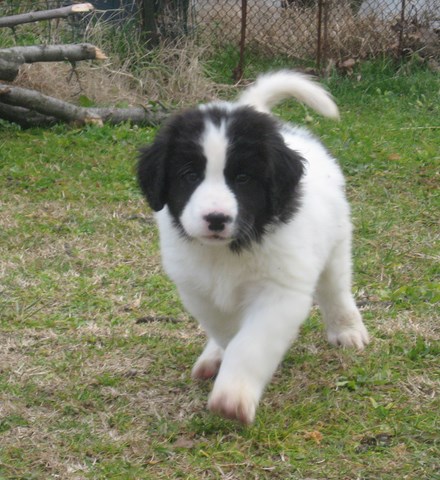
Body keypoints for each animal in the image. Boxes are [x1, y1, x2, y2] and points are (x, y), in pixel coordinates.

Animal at [138, 71, 369, 424]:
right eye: (189, 175)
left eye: (243, 178)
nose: (216, 218)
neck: (227, 252)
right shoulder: (198, 290)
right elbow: (228, 331)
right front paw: (224, 361)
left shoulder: (280, 291)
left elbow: (251, 342)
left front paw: (233, 397)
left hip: (336, 243)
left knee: (336, 291)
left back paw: (348, 330)